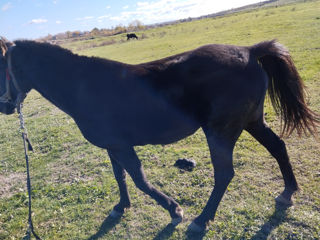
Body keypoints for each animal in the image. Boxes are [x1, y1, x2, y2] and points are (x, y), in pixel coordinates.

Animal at [0, 37, 318, 232]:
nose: (4, 107)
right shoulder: (112, 145)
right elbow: (120, 176)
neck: (83, 86)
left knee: (225, 174)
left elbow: (140, 179)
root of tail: (249, 51)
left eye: (2, 69)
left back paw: (202, 220)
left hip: (221, 131)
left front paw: (174, 210)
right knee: (278, 147)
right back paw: (288, 192)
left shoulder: (121, 145)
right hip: (251, 121)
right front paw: (121, 206)